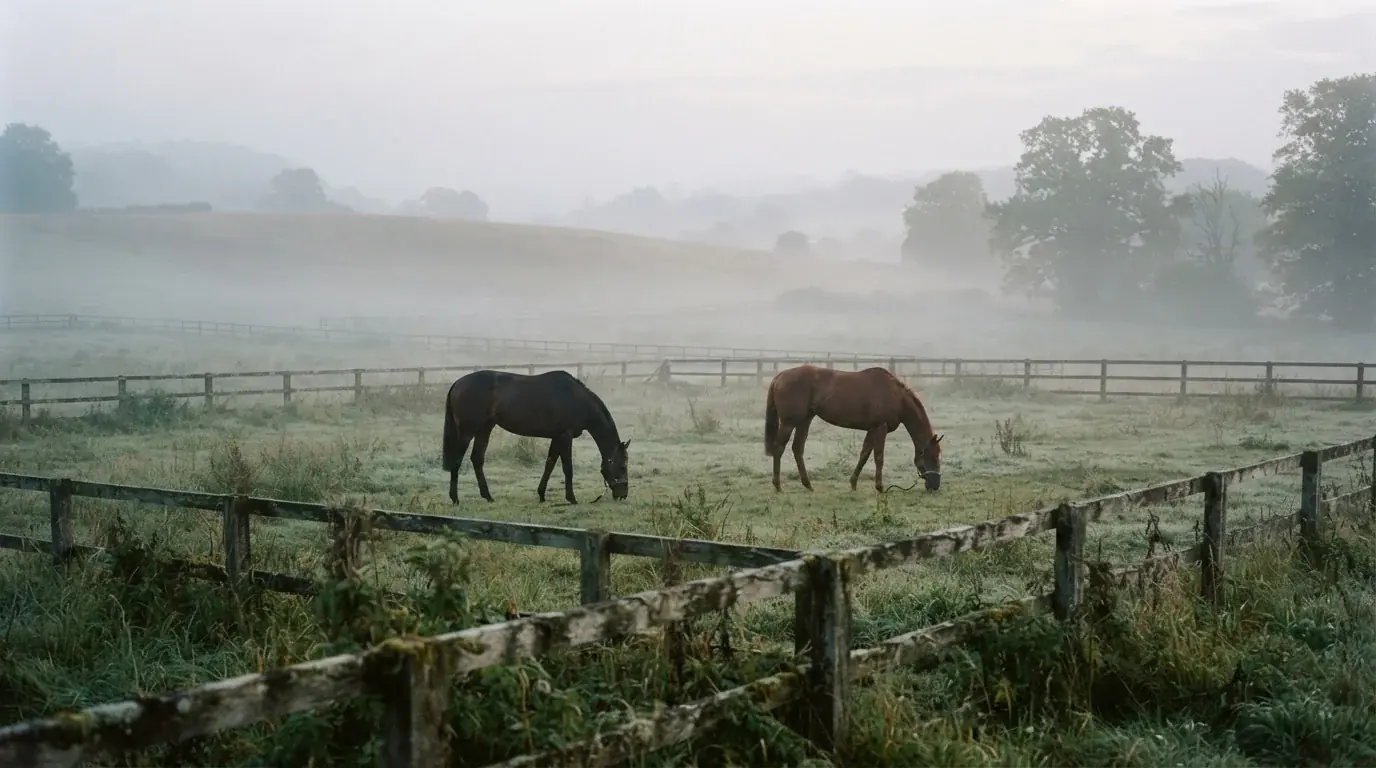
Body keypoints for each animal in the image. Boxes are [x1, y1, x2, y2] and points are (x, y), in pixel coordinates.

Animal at [442, 369, 630, 504]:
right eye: (622, 467)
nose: (623, 495)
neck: (576, 400)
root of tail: (457, 383)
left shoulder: (557, 437)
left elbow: (549, 464)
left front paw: (541, 494)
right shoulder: (565, 436)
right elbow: (567, 468)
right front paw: (571, 498)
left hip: (485, 428)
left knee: (477, 459)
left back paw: (487, 496)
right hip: (467, 432)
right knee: (457, 461)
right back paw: (455, 498)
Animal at [763, 364, 943, 493]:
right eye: (934, 457)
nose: (935, 486)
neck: (896, 397)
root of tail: (778, 377)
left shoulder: (872, 429)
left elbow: (864, 454)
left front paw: (853, 483)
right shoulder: (880, 428)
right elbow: (879, 457)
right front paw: (880, 487)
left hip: (804, 421)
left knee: (797, 449)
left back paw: (807, 485)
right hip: (789, 423)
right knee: (779, 448)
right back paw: (778, 486)